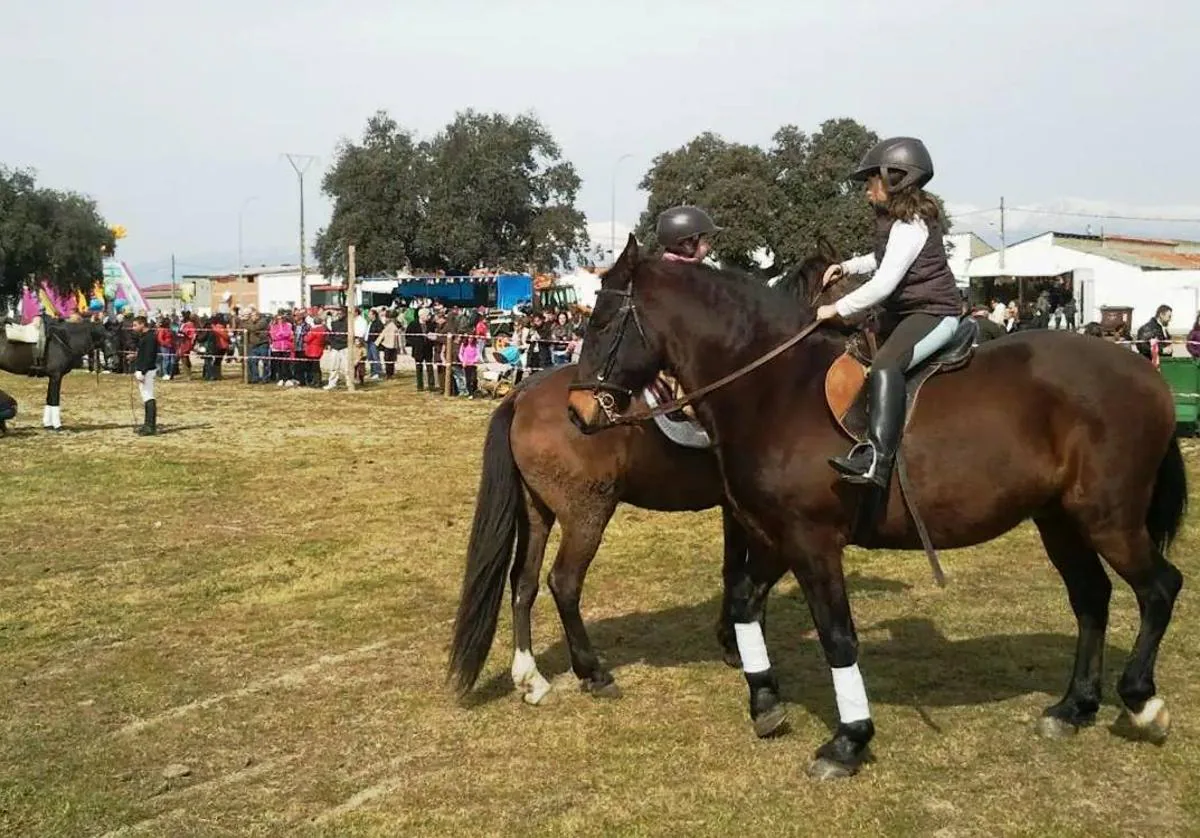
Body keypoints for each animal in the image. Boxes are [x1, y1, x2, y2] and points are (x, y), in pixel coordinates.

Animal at [566, 232, 1185, 777]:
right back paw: (1075, 707)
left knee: (1159, 588)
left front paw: (848, 742)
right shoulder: (774, 536)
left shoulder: (812, 543)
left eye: (602, 321)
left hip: (1108, 520)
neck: (774, 388)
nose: (577, 411)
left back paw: (1141, 701)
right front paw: (765, 701)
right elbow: (744, 602)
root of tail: (1145, 374)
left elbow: (838, 636)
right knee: (1092, 599)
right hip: (1060, 521)